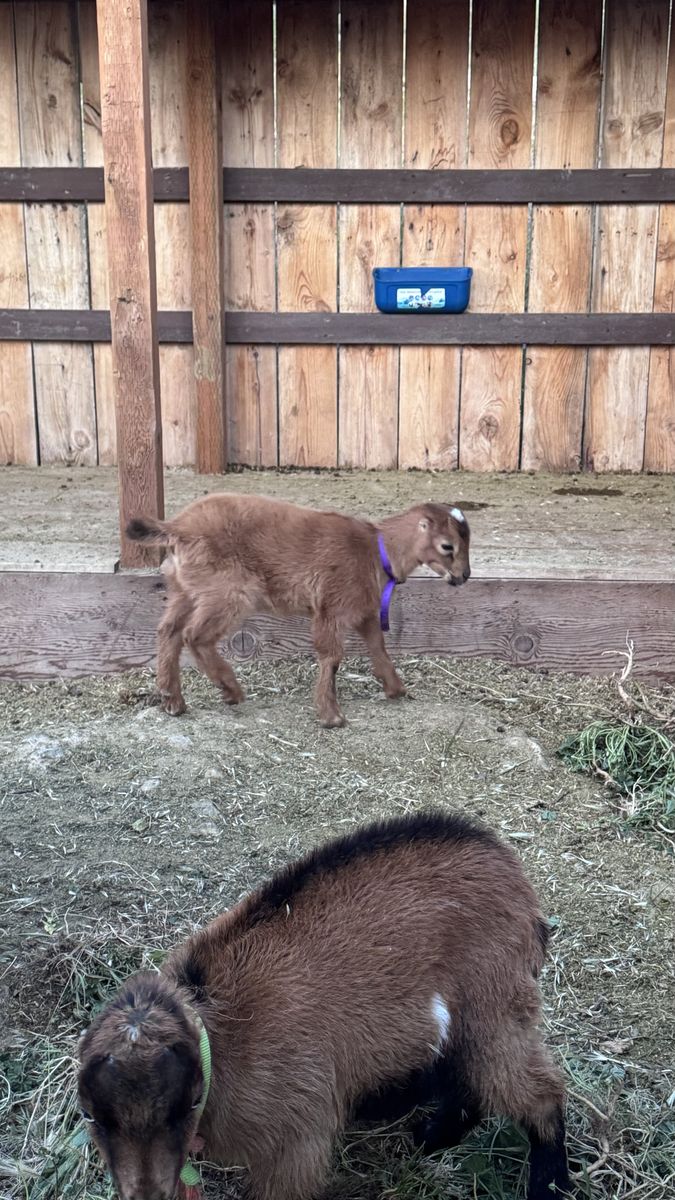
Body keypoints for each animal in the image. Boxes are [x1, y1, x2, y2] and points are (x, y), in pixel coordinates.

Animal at [78, 809, 570, 1200]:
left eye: (182, 1107)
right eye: (93, 1117)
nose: (146, 1194)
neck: (220, 1039)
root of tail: (506, 863)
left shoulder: (296, 1142)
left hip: (493, 1002)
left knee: (536, 1091)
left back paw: (548, 1184)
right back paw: (429, 1137)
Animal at [126, 495, 471, 727]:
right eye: (448, 546)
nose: (464, 576)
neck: (375, 550)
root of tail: (177, 527)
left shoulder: (364, 611)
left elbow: (378, 648)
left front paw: (396, 689)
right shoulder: (331, 606)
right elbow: (331, 656)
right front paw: (331, 716)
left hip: (185, 589)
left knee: (168, 631)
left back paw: (173, 700)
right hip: (228, 592)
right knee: (195, 635)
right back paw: (230, 690)